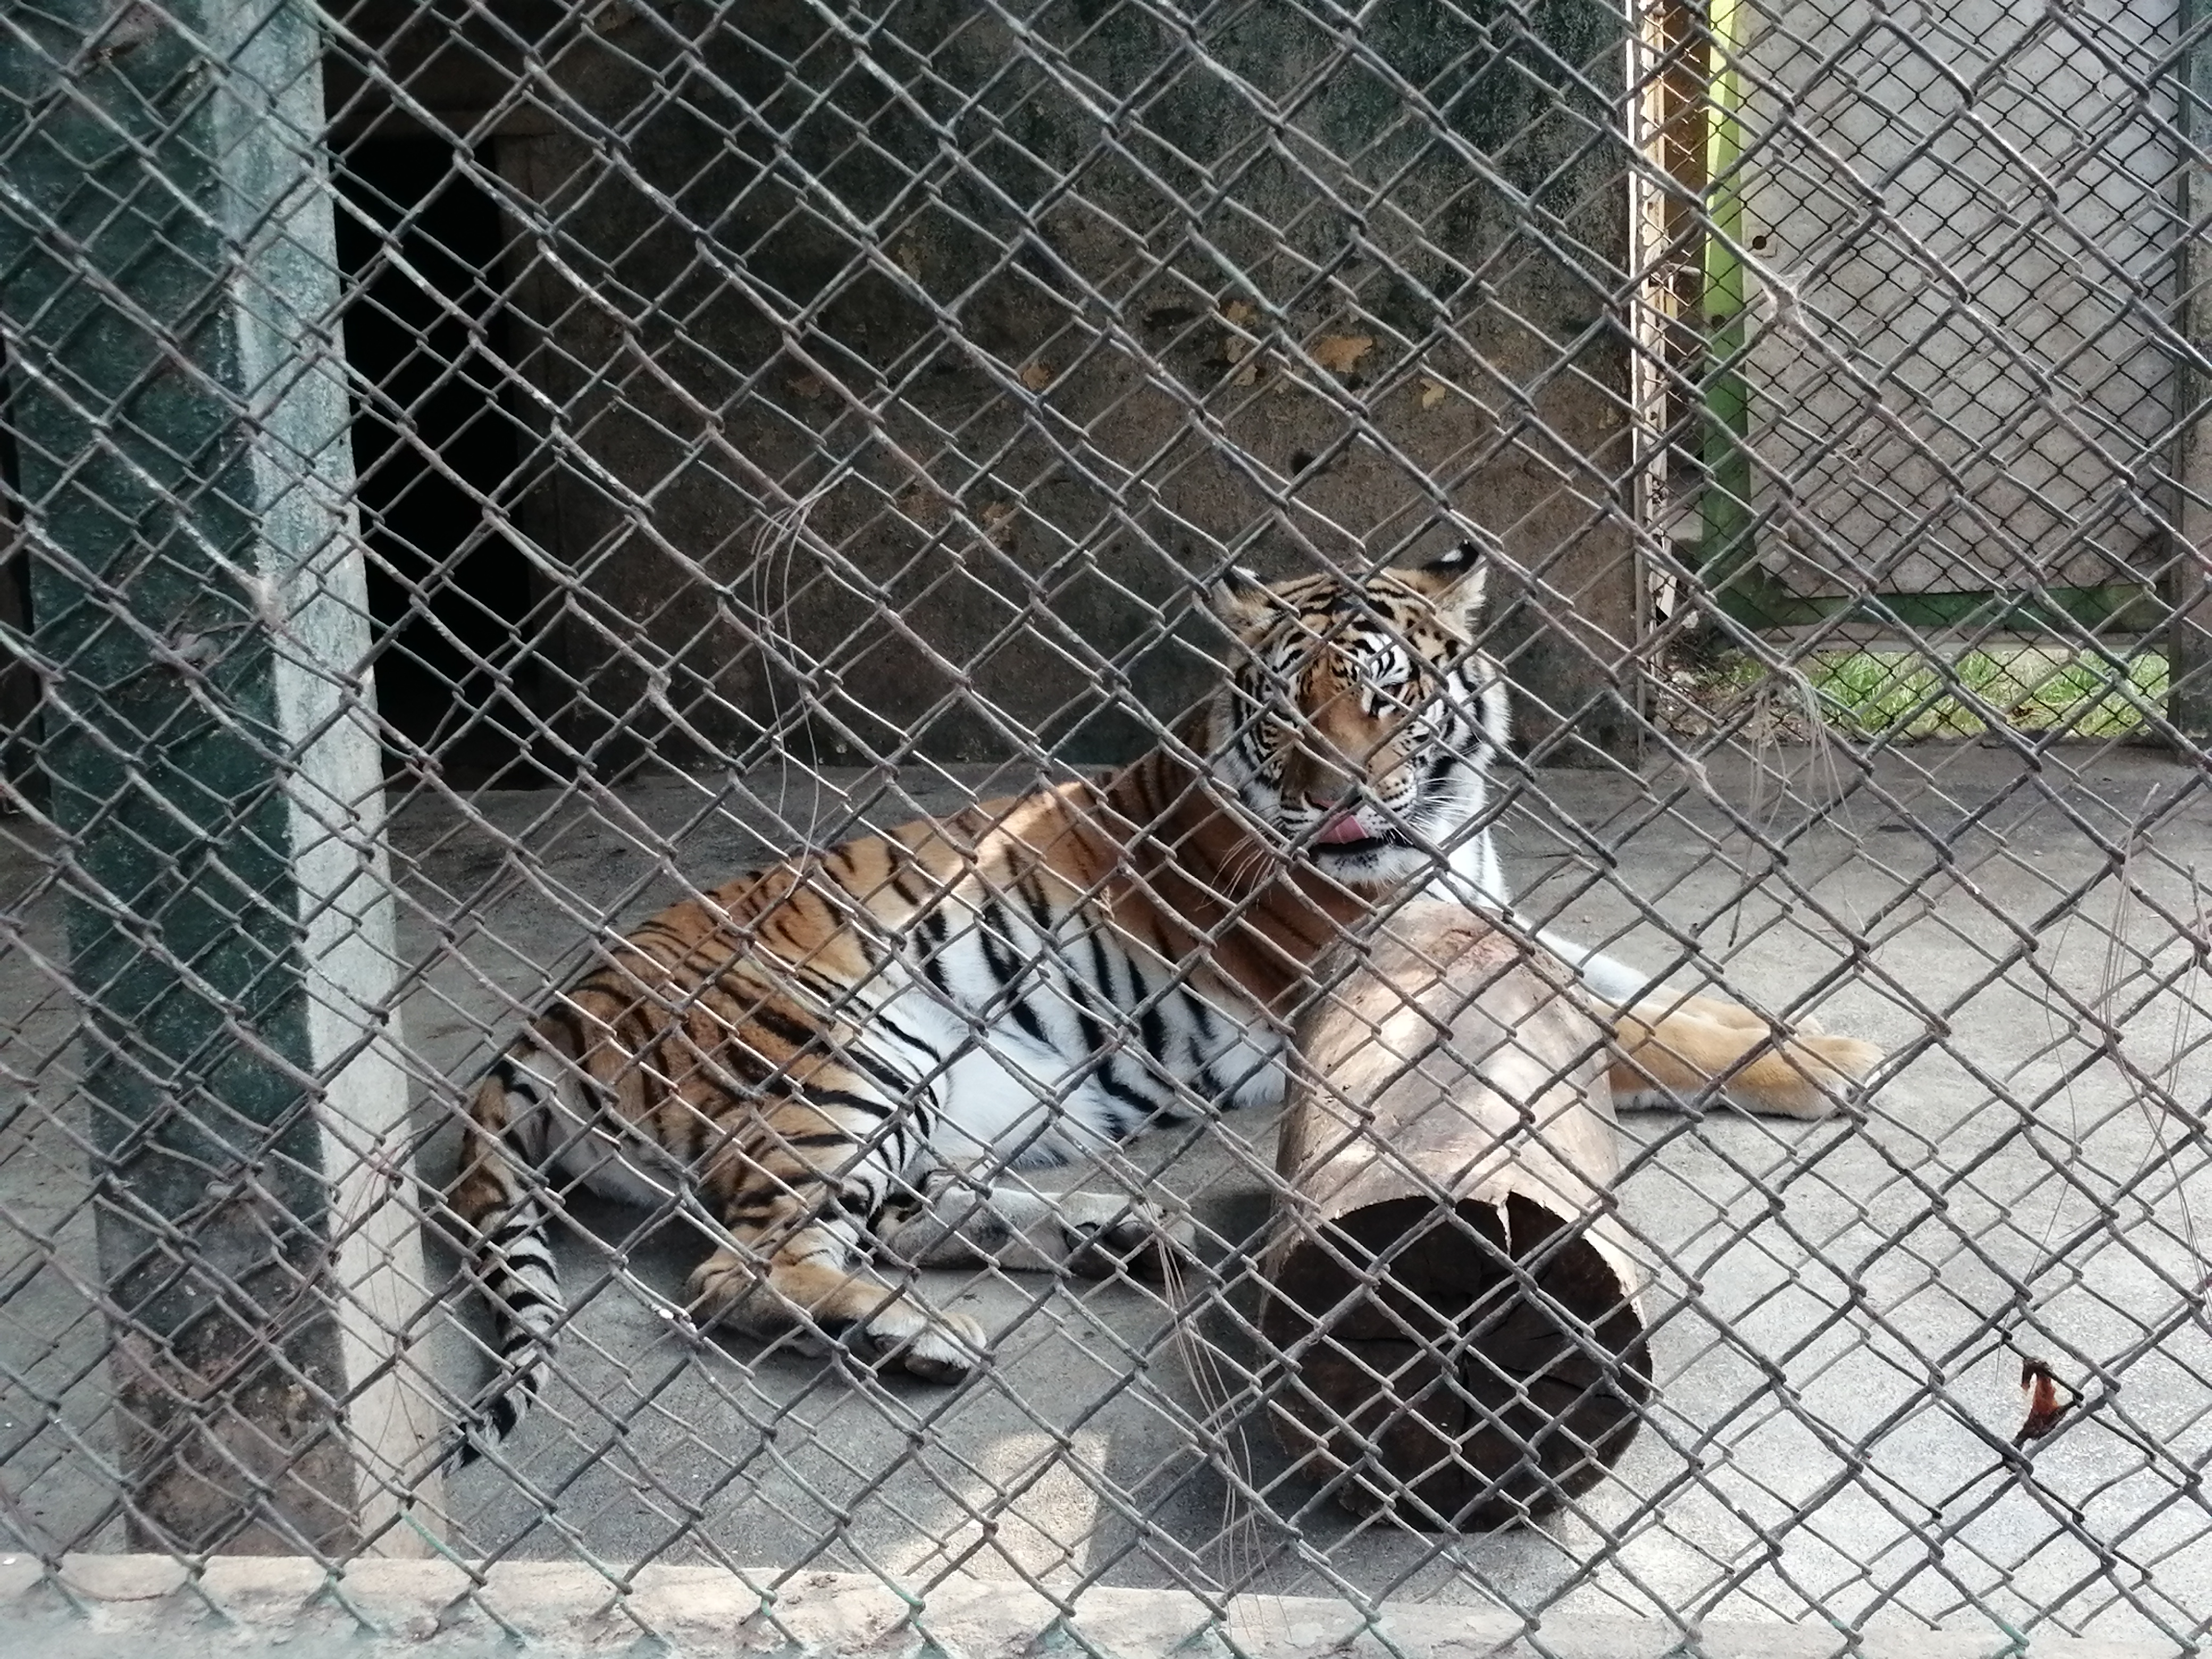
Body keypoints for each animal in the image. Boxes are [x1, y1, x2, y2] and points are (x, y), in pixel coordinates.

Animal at [445, 547, 1883, 1460]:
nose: (1335, 796)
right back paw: (924, 1337)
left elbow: (1642, 987)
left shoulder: (1497, 933)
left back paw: (1117, 1237)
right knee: (733, 1270)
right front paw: (1839, 1062)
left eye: (1385, 696)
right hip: (831, 1058)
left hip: (910, 1103)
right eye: (1286, 710)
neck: (1430, 833)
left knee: (890, 1218)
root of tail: (547, 1018)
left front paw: (1808, 1032)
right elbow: (1637, 1026)